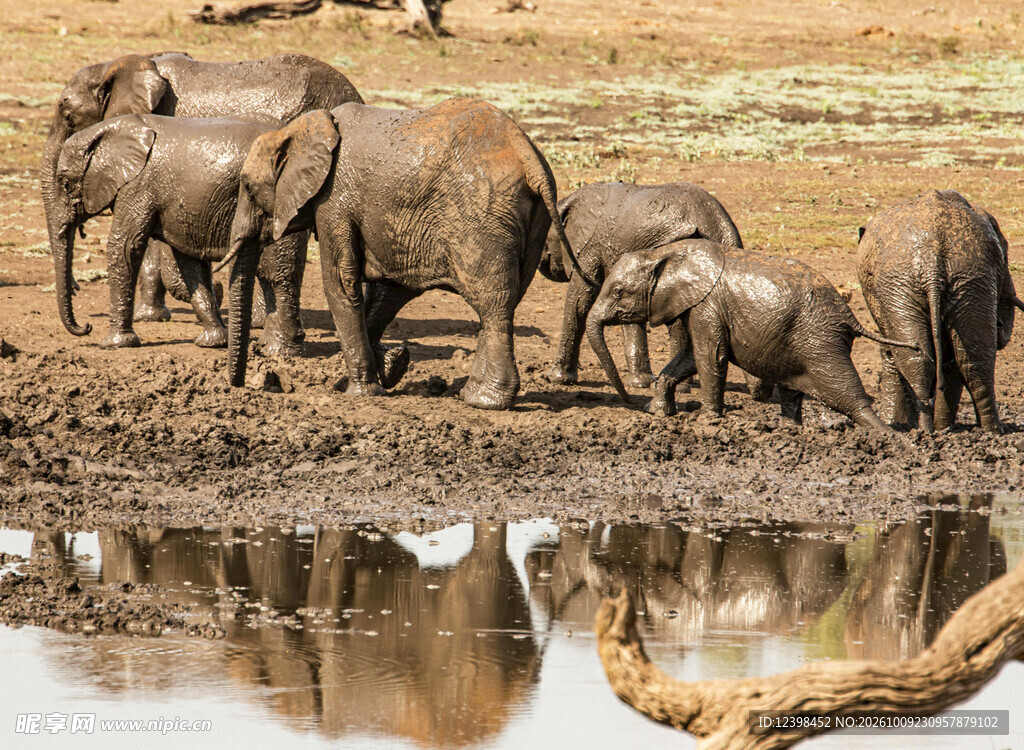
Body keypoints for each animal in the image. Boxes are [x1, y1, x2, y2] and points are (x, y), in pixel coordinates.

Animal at [54, 113, 308, 351]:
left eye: (65, 182)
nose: (86, 327)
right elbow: (189, 263)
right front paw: (213, 342)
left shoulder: (138, 186)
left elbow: (125, 248)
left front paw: (115, 344)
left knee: (276, 272)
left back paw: (279, 347)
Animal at [222, 97, 585, 409]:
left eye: (248, 188)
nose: (239, 386)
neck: (301, 129)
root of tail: (529, 159)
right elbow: (391, 288)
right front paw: (392, 367)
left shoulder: (333, 202)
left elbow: (341, 281)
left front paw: (361, 392)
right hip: (530, 222)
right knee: (505, 303)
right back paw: (471, 394)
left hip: (482, 217)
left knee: (494, 304)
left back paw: (485, 402)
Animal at [587, 240, 919, 430]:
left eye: (618, 292)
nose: (629, 400)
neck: (663, 254)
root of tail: (851, 318)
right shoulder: (701, 308)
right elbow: (689, 358)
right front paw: (657, 413)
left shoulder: (707, 305)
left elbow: (710, 356)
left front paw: (707, 422)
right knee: (793, 388)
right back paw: (788, 431)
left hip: (821, 341)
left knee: (847, 395)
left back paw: (891, 439)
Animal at [857, 190, 1024, 433]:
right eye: (1005, 258)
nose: (1000, 323)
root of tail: (931, 264)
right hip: (965, 280)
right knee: (972, 358)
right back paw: (987, 430)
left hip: (945, 281)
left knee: (931, 358)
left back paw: (934, 430)